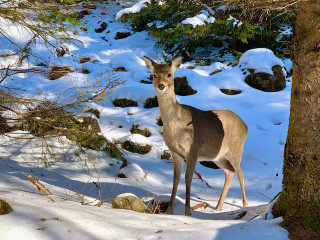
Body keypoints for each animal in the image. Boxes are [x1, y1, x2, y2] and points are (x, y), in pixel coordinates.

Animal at [144, 55, 249, 216]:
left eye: (169, 74)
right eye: (154, 75)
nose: (161, 86)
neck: (176, 126)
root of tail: (246, 126)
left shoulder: (193, 149)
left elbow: (188, 178)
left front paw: (187, 211)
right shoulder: (175, 152)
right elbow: (175, 179)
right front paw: (169, 211)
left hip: (236, 149)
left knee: (240, 172)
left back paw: (244, 205)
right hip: (217, 156)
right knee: (230, 171)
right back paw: (218, 207)